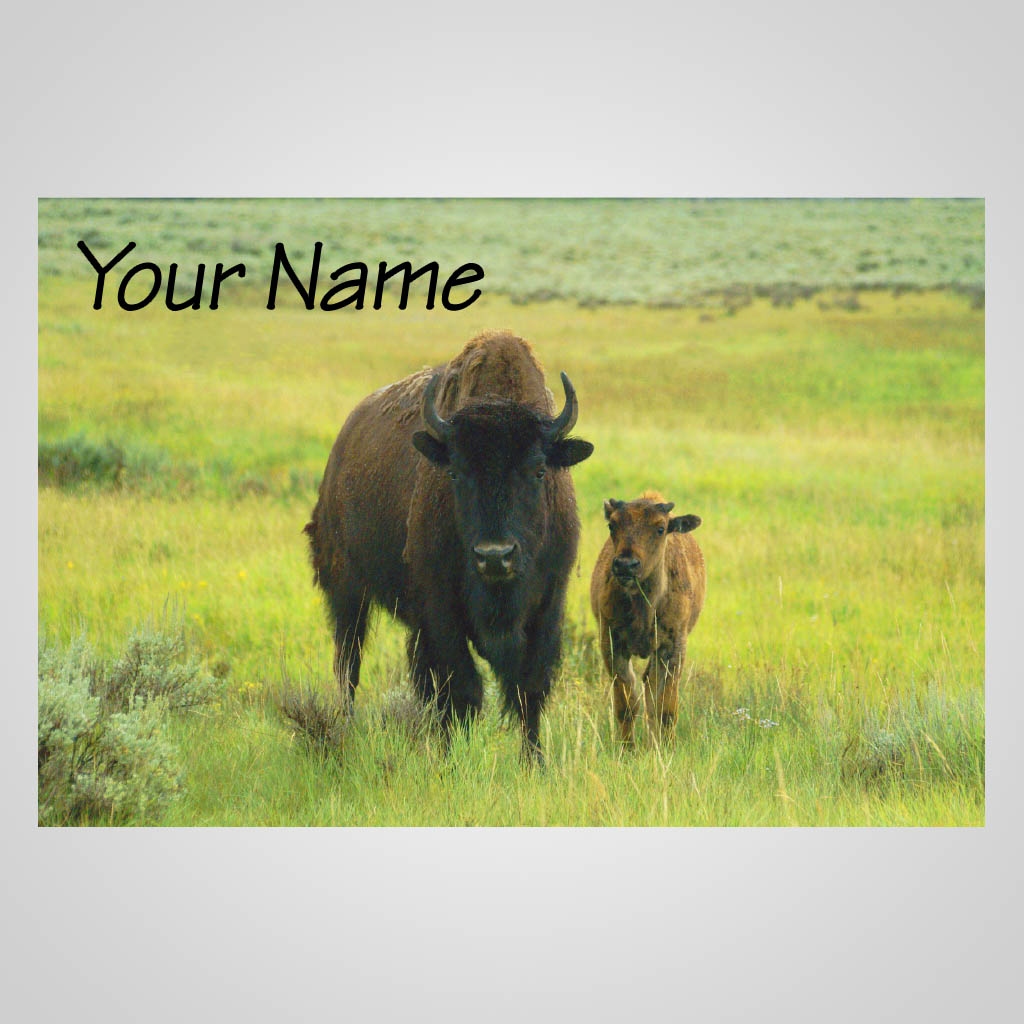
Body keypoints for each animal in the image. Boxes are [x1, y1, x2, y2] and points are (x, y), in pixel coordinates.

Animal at [304, 331, 594, 761]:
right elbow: (461, 689)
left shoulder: (549, 604)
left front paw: (534, 762)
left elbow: (529, 689)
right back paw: (348, 728)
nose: (495, 556)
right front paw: (452, 759)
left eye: (539, 470)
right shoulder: (441, 609)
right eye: (455, 472)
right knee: (349, 664)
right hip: (347, 591)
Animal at [590, 490, 705, 744]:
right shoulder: (612, 645)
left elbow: (666, 708)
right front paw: (627, 748)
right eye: (612, 525)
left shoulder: (672, 648)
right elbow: (626, 705)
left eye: (661, 528)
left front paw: (667, 747)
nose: (626, 565)